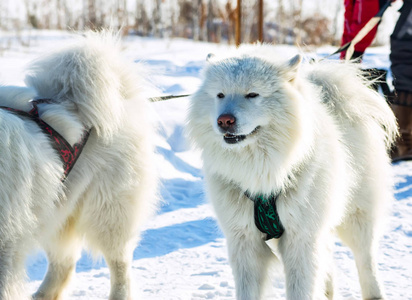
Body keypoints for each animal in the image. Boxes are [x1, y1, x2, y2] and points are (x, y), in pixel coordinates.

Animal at [187, 45, 400, 300]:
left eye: (252, 95)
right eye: (220, 95)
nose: (224, 120)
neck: (263, 174)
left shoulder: (301, 239)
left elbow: (302, 288)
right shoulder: (245, 241)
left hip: (357, 216)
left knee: (366, 259)